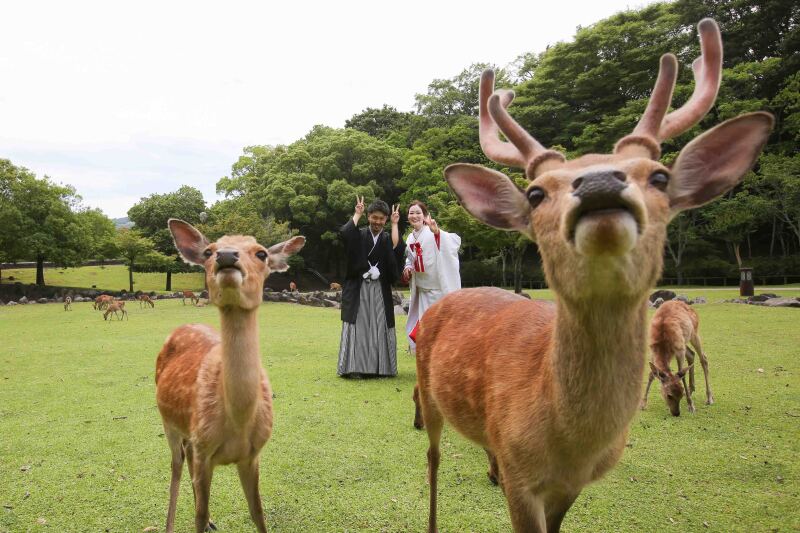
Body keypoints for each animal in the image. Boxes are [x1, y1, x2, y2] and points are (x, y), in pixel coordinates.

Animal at [155, 219, 305, 533]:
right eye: (208, 251)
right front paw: (201, 519)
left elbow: (258, 512)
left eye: (261, 253)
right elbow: (198, 518)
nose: (226, 256)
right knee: (176, 466)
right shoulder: (204, 451)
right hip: (168, 422)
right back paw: (169, 525)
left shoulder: (252, 454)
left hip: (190, 436)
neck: (238, 420)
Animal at [412, 19, 773, 532]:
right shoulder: (523, 480)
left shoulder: (572, 485)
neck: (570, 444)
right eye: (536, 193)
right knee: (433, 458)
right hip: (429, 391)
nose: (600, 182)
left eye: (660, 176)